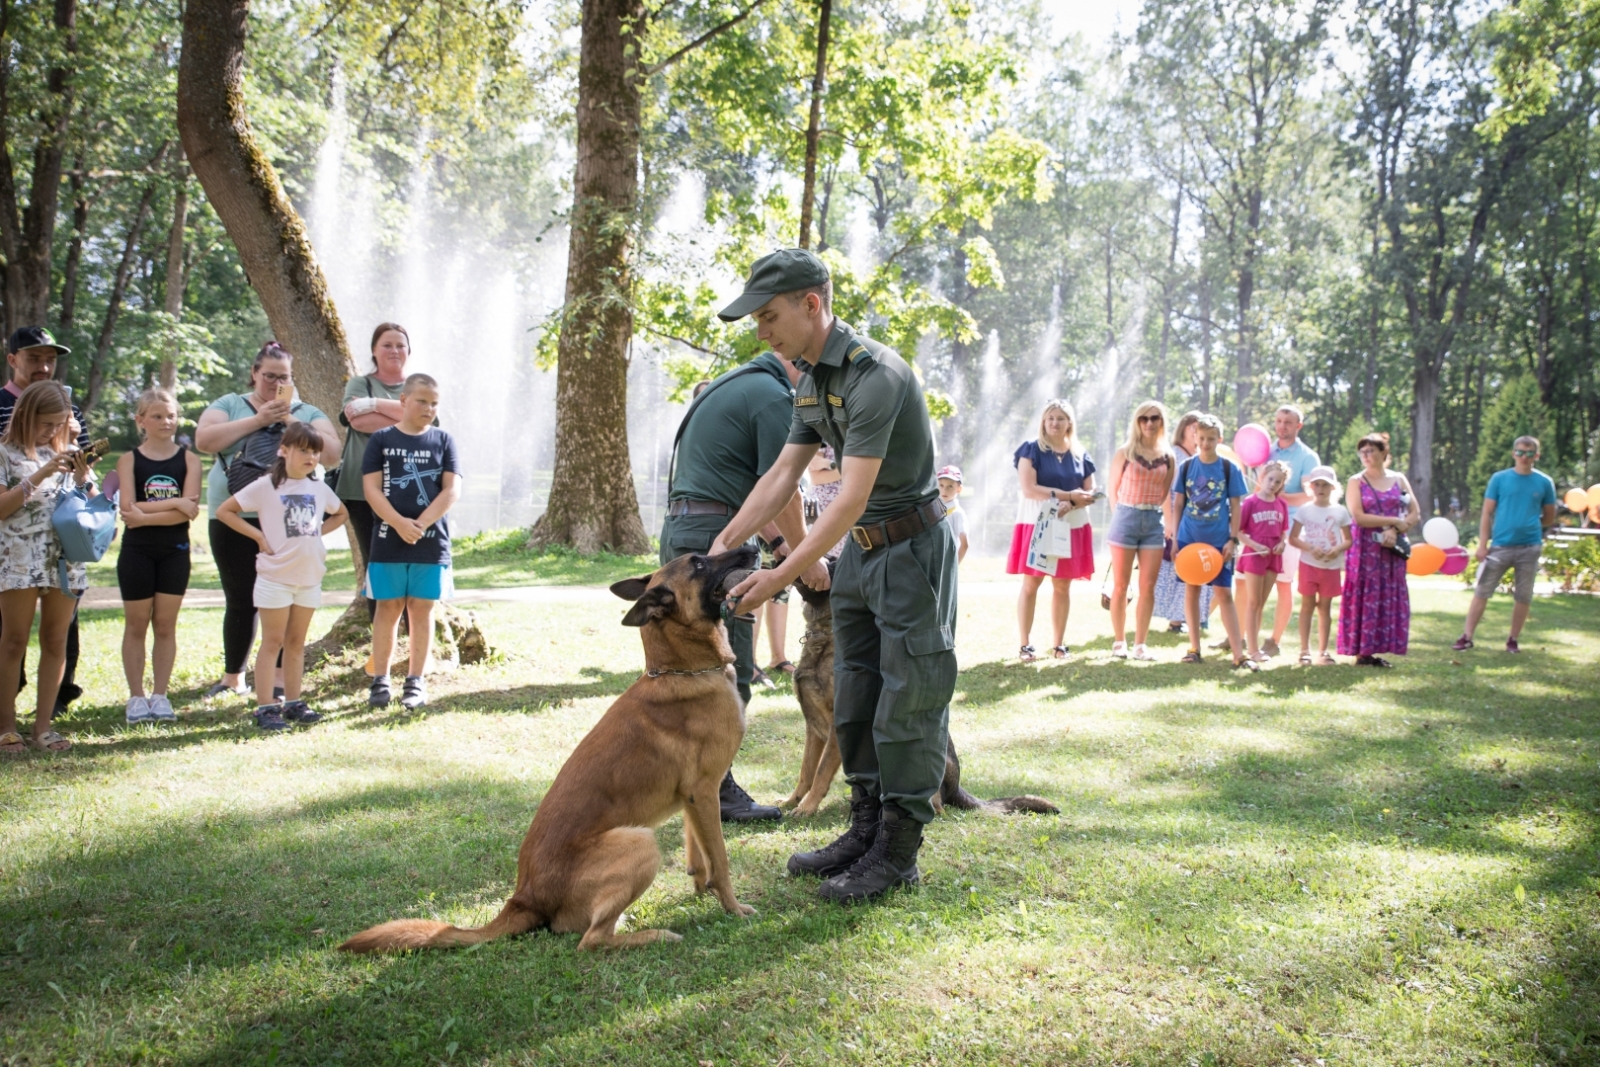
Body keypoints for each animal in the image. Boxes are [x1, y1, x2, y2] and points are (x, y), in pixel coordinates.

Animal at [339, 547, 761, 953]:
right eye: (699, 563)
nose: (753, 548)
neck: (681, 669)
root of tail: (523, 898)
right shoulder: (704, 791)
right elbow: (720, 859)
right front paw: (733, 908)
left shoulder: (691, 798)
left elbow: (699, 855)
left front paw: (701, 890)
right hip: (639, 841)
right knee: (590, 941)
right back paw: (655, 936)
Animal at [780, 575, 1056, 819]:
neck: (823, 637)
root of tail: (956, 785)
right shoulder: (813, 729)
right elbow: (806, 771)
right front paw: (792, 800)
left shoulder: (837, 731)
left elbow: (820, 774)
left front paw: (806, 808)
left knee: (935, 806)